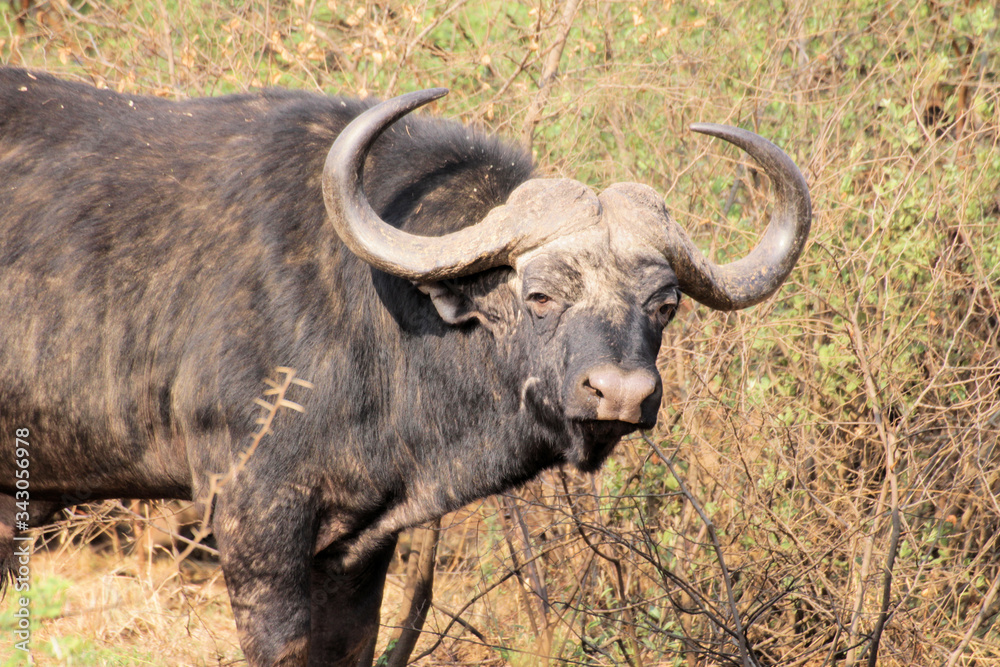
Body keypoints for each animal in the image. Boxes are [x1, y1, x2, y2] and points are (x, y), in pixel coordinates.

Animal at [0, 69, 808, 667]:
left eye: (665, 304)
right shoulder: (255, 518)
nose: (621, 393)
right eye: (540, 296)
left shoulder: (361, 548)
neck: (376, 314)